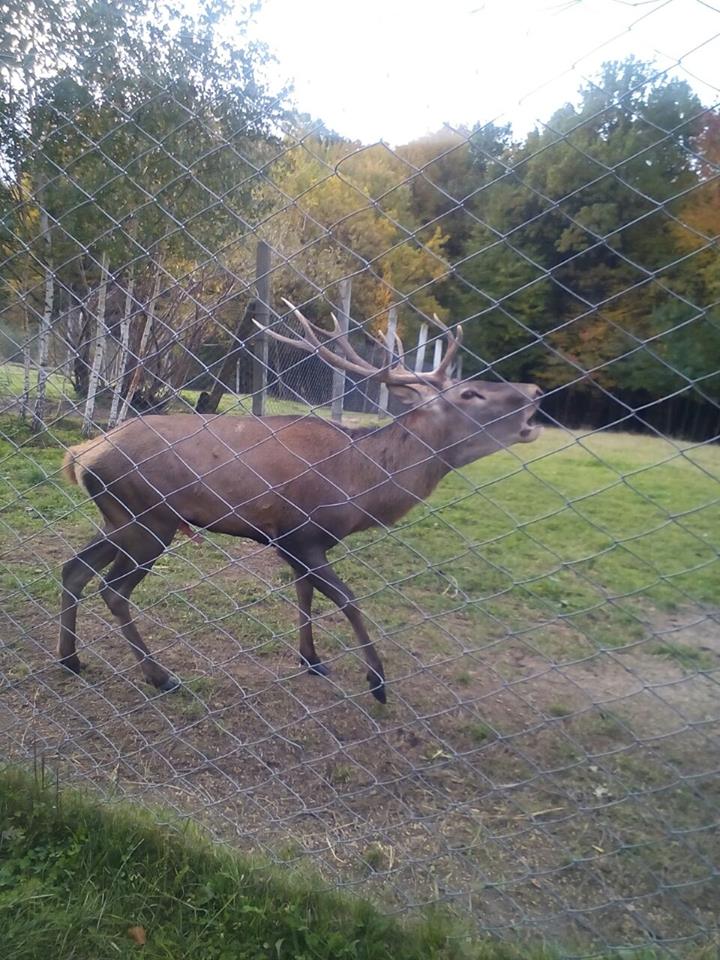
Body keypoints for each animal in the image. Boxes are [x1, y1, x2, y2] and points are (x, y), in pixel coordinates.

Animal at [60, 302, 540, 704]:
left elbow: (304, 592)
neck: (361, 484)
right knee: (112, 589)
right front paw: (377, 681)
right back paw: (159, 676)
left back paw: (70, 660)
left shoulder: (302, 543)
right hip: (149, 518)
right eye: (470, 393)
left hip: (118, 518)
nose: (534, 390)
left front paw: (311, 659)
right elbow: (347, 599)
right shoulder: (299, 534)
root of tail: (83, 453)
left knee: (74, 569)